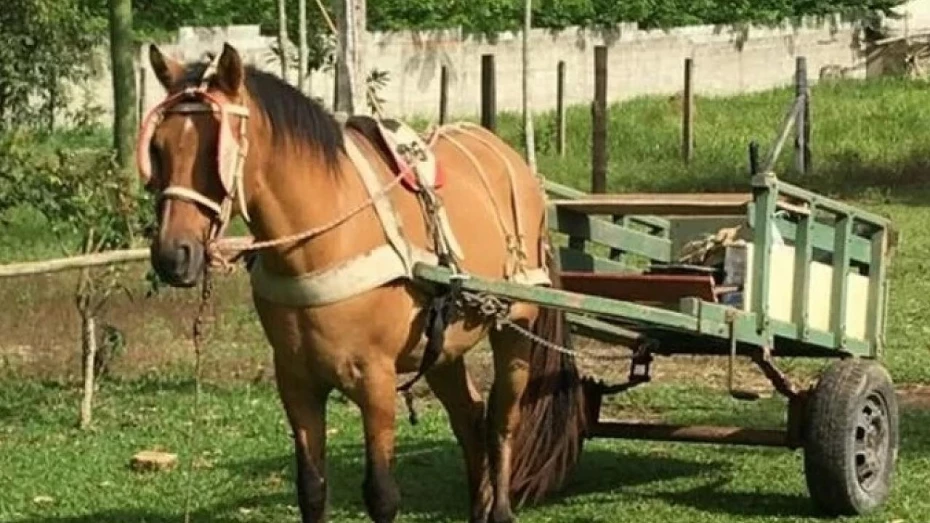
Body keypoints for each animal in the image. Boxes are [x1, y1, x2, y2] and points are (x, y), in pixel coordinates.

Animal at [138, 43, 584, 520]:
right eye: (158, 149)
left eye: (215, 152)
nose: (172, 255)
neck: (322, 243)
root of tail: (518, 165)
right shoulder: (295, 382)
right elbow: (312, 489)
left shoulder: (376, 380)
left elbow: (382, 493)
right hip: (443, 347)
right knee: (470, 417)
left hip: (513, 327)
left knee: (502, 420)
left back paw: (499, 508)